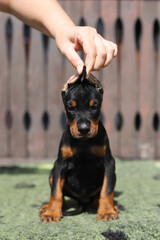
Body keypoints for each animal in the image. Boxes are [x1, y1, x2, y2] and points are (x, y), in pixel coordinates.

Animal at [39, 66, 119, 222]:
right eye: (71, 107)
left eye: (94, 107)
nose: (83, 129)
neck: (83, 143)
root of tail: (83, 201)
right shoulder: (60, 164)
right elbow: (56, 192)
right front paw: (51, 213)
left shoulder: (108, 163)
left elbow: (107, 190)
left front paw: (107, 211)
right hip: (51, 173)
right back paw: (47, 208)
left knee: (98, 196)